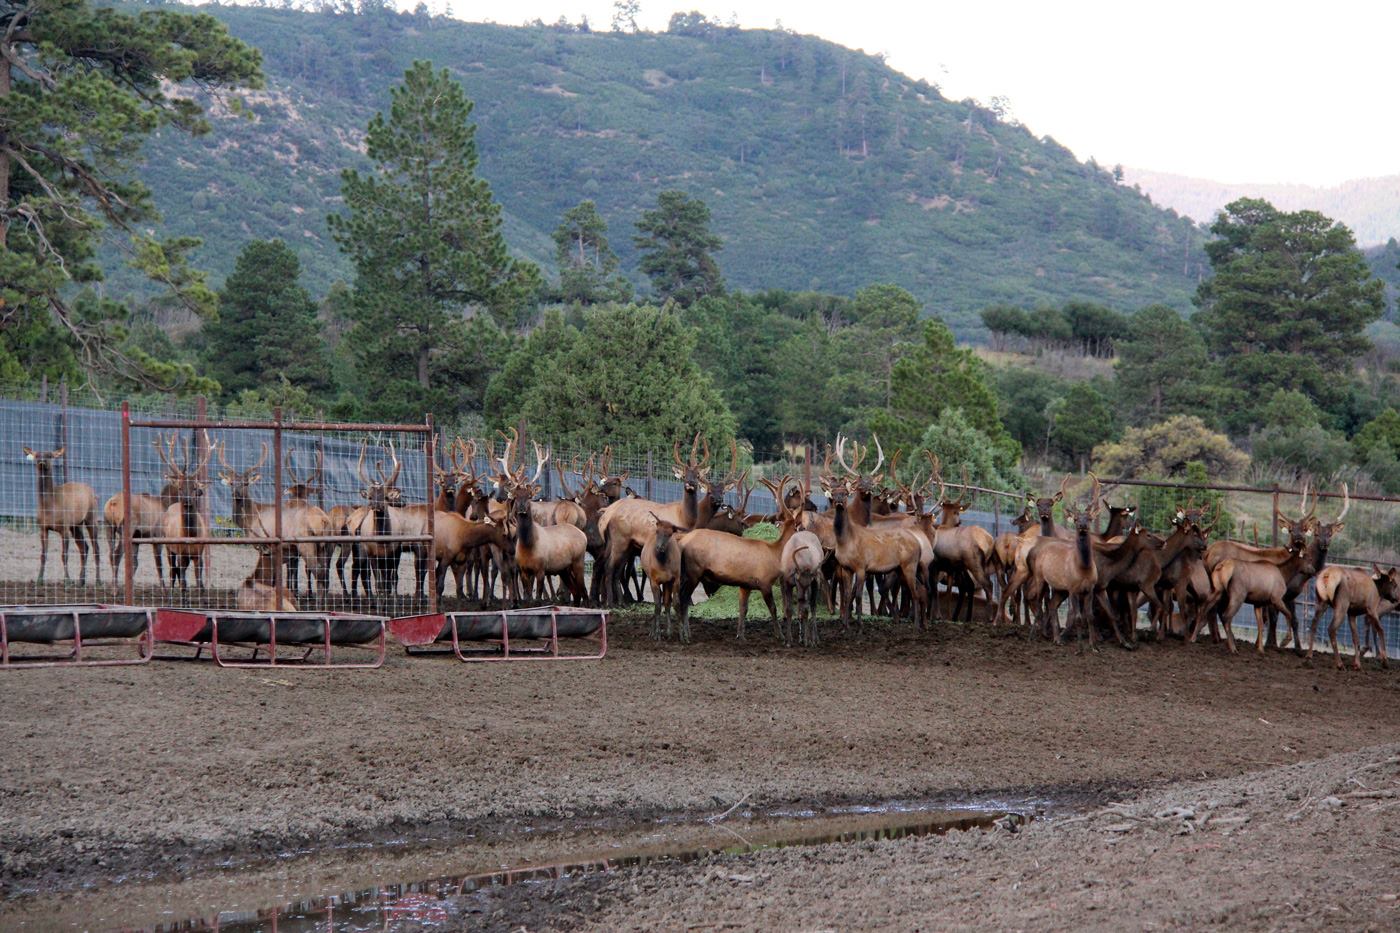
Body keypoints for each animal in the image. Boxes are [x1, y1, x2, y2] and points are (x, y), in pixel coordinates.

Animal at [23, 446, 99, 585]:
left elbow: (64, 555)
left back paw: (98, 581)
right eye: (37, 455)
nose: (41, 461)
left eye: (49, 455)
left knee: (96, 548)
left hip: (91, 517)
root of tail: (92, 491)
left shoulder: (64, 528)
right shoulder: (43, 528)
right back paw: (81, 580)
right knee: (84, 547)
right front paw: (39, 579)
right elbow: (43, 555)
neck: (49, 507)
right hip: (75, 525)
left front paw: (67, 580)